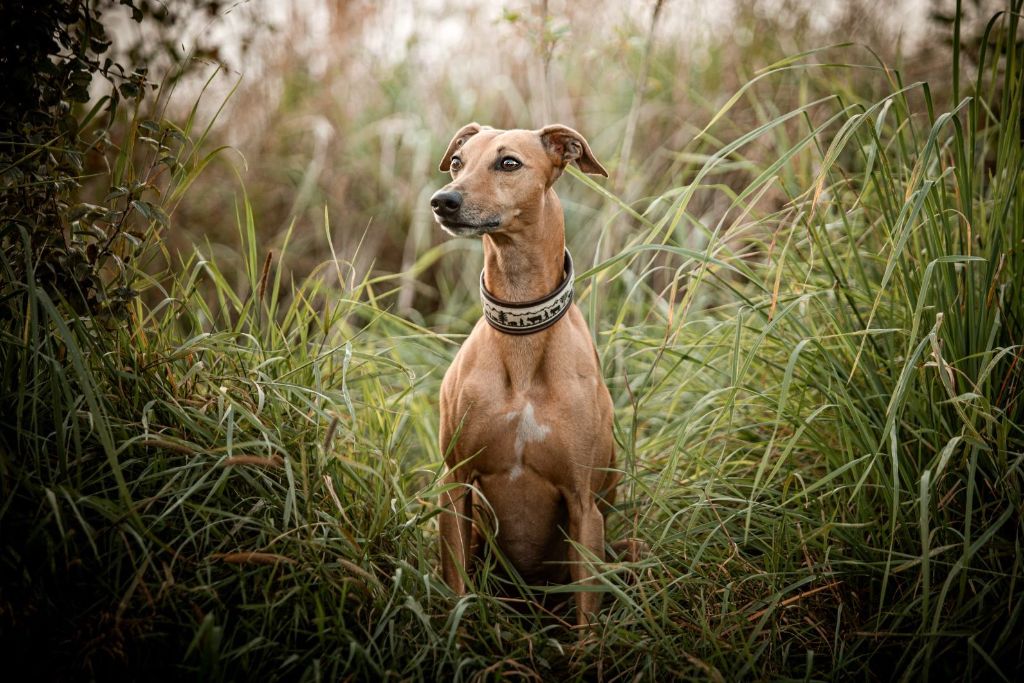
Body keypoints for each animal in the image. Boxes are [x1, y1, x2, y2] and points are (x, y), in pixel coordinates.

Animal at [430, 121, 614, 626]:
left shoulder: (584, 507)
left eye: (508, 162)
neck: (521, 332)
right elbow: (456, 593)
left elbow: (588, 620)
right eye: (457, 161)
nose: (442, 200)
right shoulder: (455, 488)